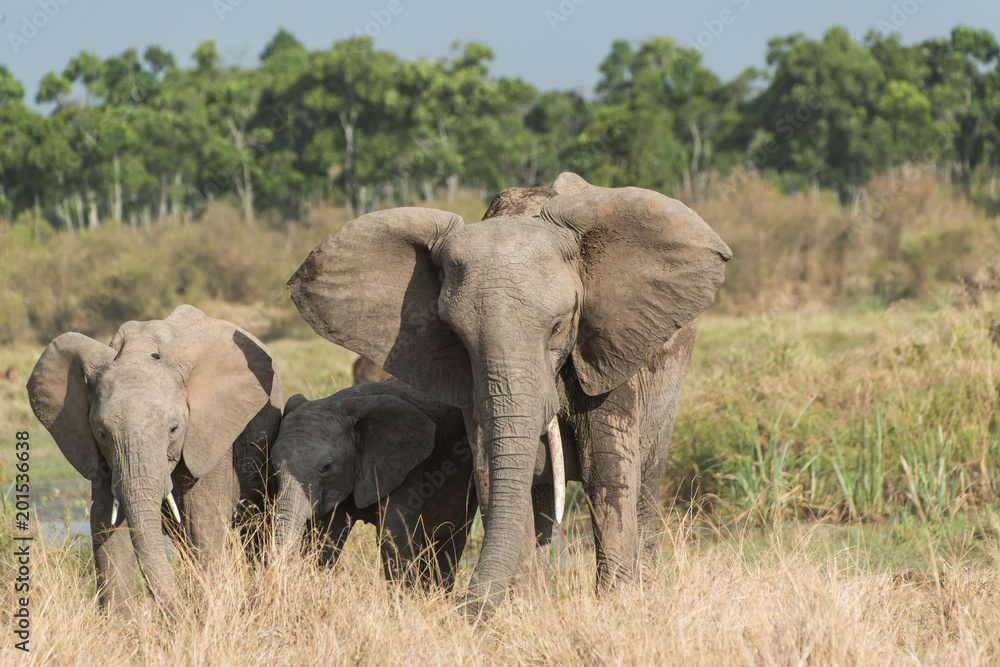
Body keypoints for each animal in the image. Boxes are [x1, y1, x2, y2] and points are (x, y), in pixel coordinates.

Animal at [27, 306, 284, 612]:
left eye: (174, 429)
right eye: (102, 433)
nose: (178, 610)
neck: (140, 347)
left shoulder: (212, 437)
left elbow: (202, 518)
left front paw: (208, 610)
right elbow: (106, 526)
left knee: (253, 529)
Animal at [272, 378, 478, 592]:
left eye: (326, 467)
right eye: (273, 466)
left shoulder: (406, 466)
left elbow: (394, 535)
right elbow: (324, 536)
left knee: (449, 540)